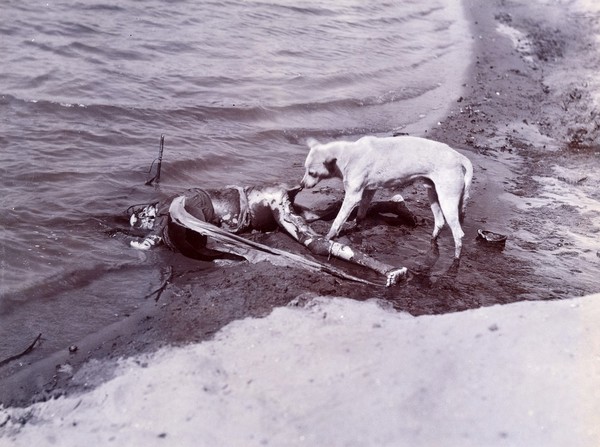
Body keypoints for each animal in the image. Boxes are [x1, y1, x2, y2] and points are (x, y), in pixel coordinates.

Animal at [300, 136, 474, 260]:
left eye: (312, 173)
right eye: (305, 169)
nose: (301, 185)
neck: (348, 154)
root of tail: (458, 157)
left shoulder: (352, 196)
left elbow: (338, 219)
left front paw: (327, 237)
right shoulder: (369, 191)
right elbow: (361, 214)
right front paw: (355, 225)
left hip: (448, 200)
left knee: (458, 234)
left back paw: (456, 261)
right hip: (433, 194)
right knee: (439, 222)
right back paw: (432, 241)